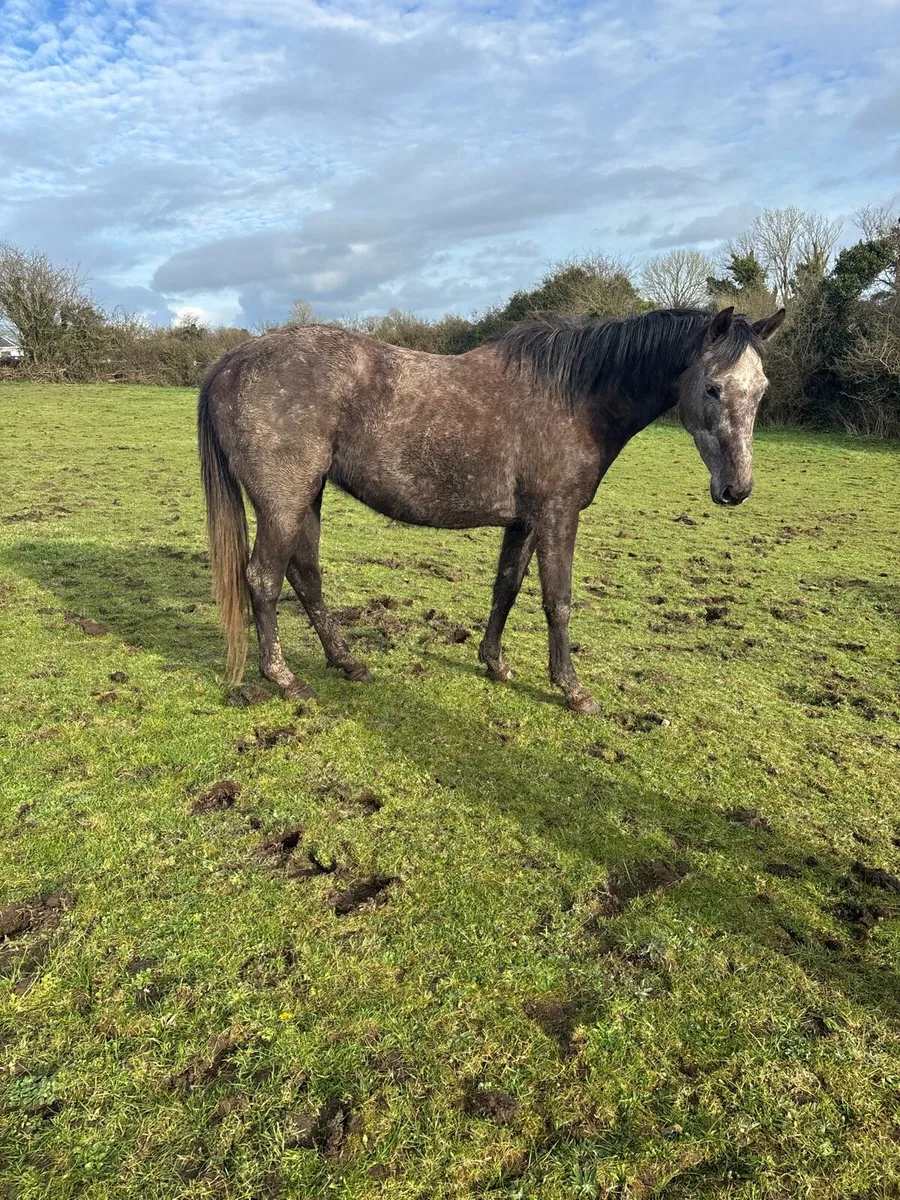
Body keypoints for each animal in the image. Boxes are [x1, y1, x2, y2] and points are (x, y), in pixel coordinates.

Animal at [198, 304, 785, 713]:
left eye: (761, 391)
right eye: (713, 387)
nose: (736, 489)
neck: (575, 399)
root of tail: (230, 363)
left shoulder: (524, 522)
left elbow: (507, 588)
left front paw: (494, 663)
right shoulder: (557, 515)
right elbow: (558, 601)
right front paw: (572, 689)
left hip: (308, 498)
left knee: (305, 575)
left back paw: (347, 663)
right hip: (284, 501)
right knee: (264, 577)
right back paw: (284, 678)